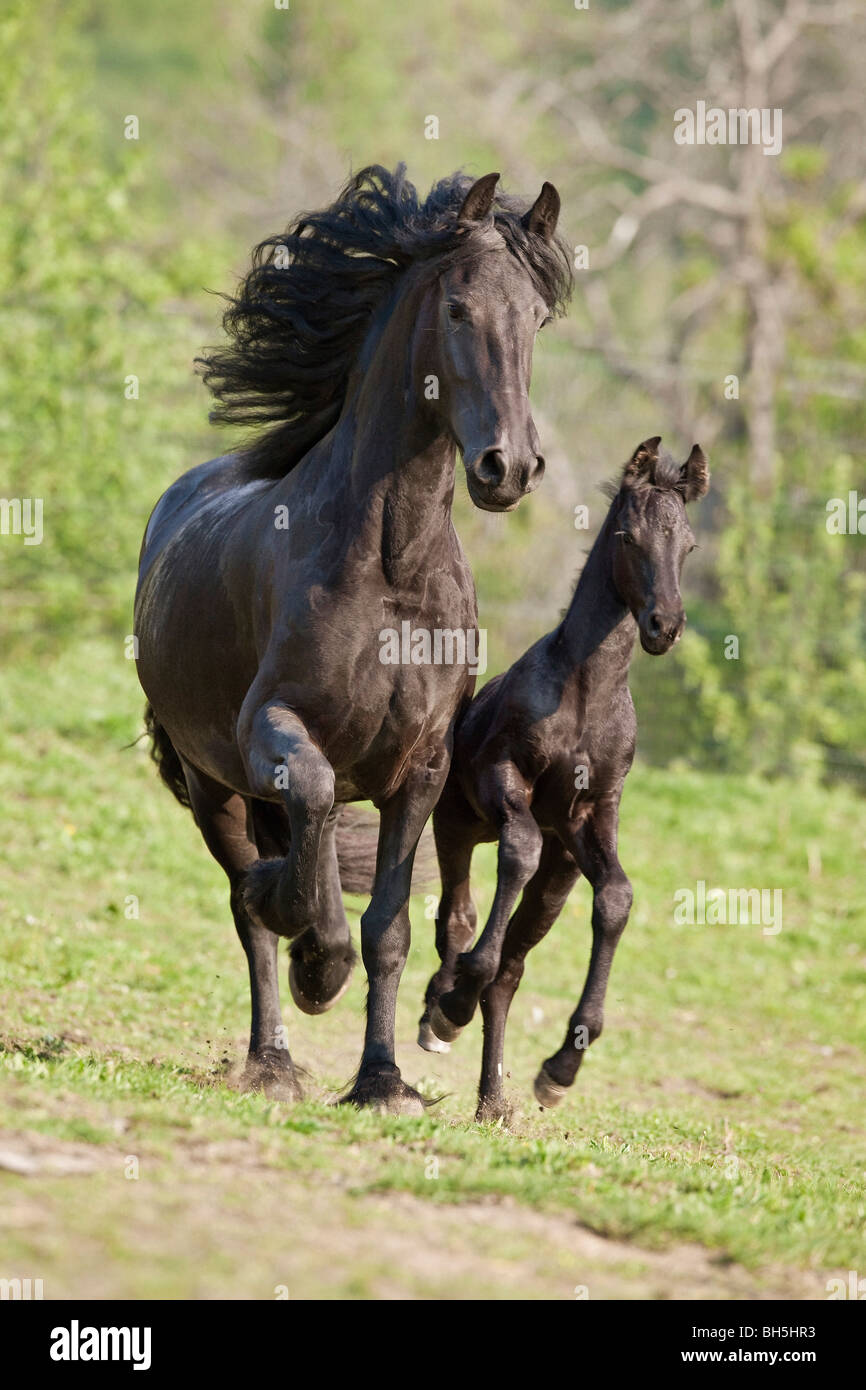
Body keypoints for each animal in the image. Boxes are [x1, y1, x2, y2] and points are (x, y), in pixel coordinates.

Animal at [134, 164, 572, 1113]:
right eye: (458, 308)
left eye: (536, 318)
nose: (509, 467)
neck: (392, 570)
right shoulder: (273, 729)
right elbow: (312, 831)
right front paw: (315, 962)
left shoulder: (423, 768)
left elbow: (390, 928)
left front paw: (382, 1081)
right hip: (213, 781)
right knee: (245, 902)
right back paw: (271, 1058)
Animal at [418, 436, 710, 1120]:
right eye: (629, 535)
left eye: (688, 544)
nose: (664, 626)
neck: (584, 695)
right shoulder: (505, 778)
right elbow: (517, 850)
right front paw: (451, 1001)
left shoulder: (592, 814)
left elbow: (618, 898)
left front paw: (563, 1065)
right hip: (457, 822)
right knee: (459, 916)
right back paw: (440, 1008)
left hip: (561, 870)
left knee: (511, 970)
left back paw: (493, 1099)